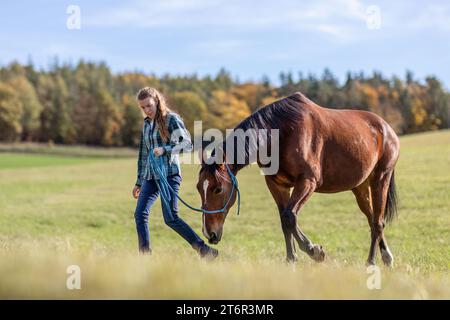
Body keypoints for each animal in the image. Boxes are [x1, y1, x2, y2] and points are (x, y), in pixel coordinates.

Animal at [198, 91, 400, 266]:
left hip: (380, 179)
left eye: (218, 189)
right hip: (360, 188)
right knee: (373, 219)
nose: (209, 233)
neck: (283, 133)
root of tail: (386, 128)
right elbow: (284, 220)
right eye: (199, 188)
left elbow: (290, 216)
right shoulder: (277, 185)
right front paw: (291, 259)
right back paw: (386, 257)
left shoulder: (307, 182)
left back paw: (372, 262)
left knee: (377, 222)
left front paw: (314, 251)